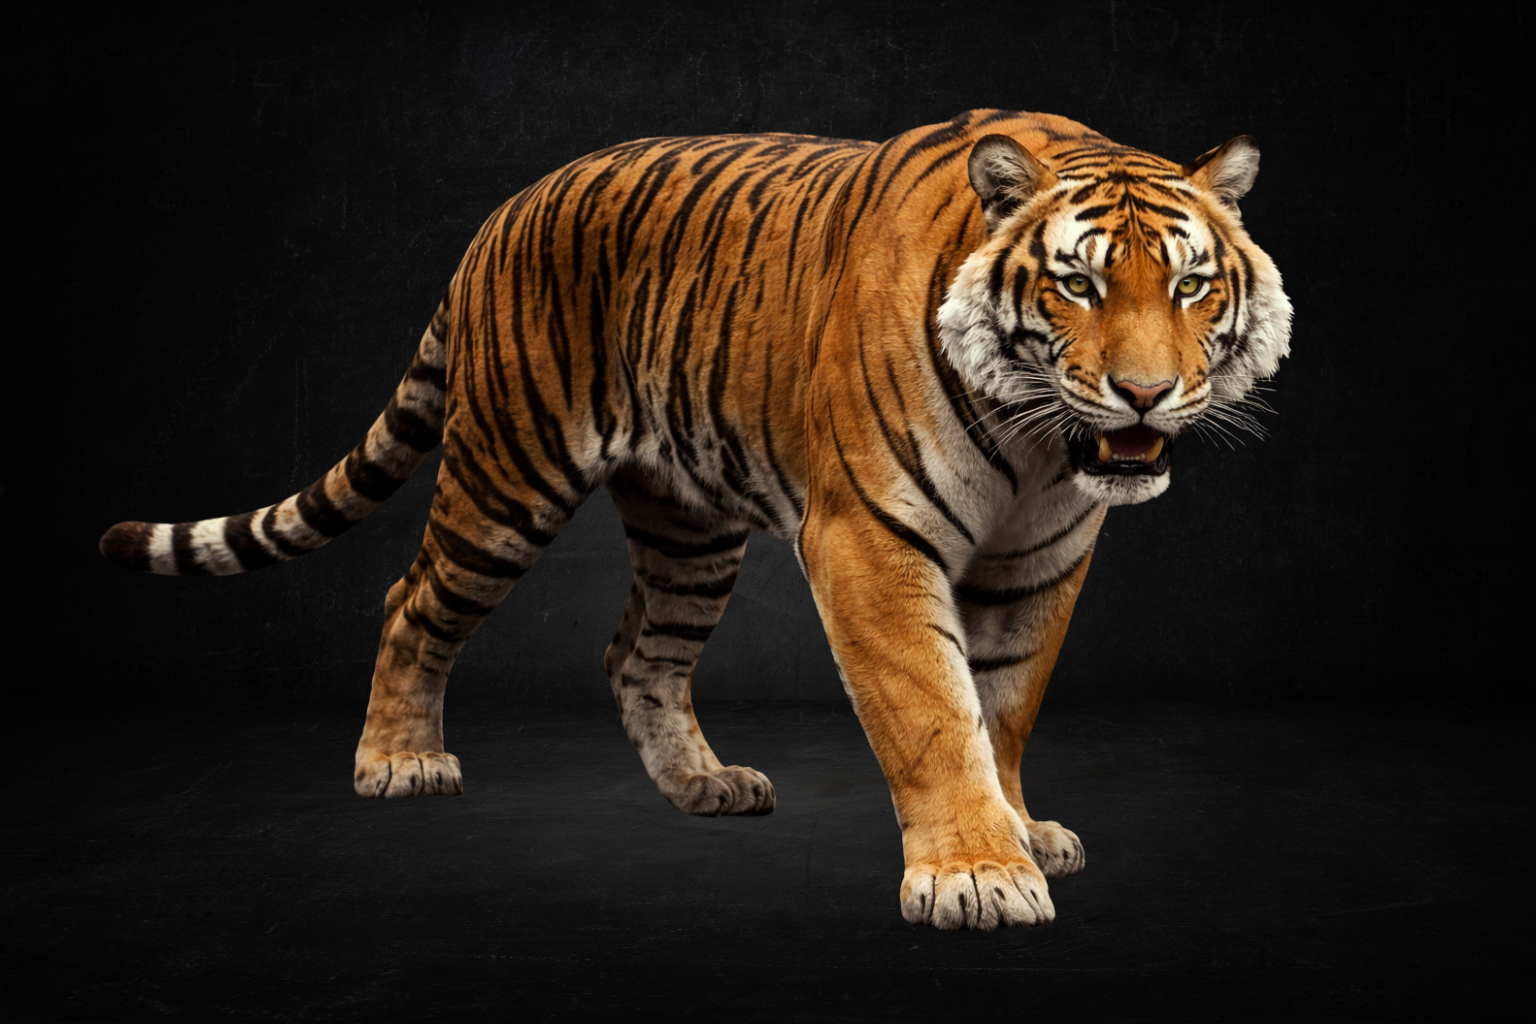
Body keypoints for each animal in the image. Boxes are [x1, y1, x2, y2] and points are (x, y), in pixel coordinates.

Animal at [100, 109, 1291, 931]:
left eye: (1189, 284)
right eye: (1078, 287)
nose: (1144, 395)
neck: (1042, 448)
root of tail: (503, 210)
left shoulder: (1043, 561)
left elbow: (1003, 708)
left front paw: (1020, 832)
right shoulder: (869, 538)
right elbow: (932, 708)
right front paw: (976, 873)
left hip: (689, 528)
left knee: (636, 653)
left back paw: (704, 784)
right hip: (507, 476)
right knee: (412, 602)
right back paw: (399, 761)